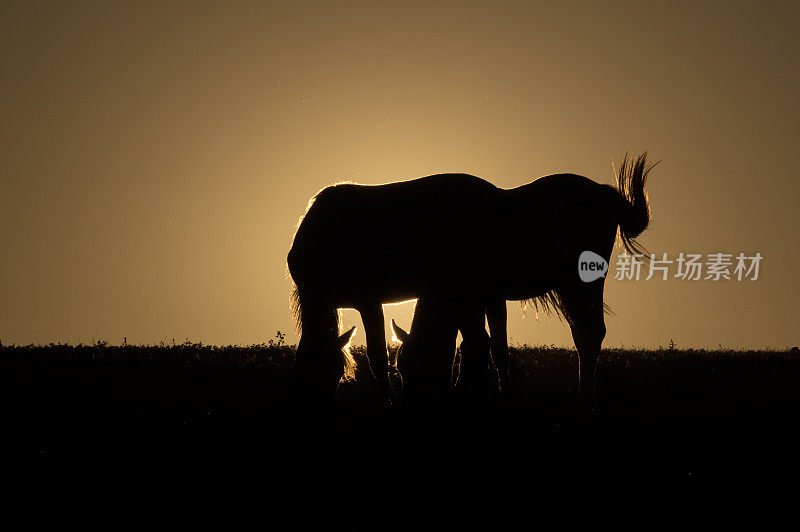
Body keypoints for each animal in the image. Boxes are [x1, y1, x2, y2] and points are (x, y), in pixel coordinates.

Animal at [290, 152, 652, 406]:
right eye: (302, 370)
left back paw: (584, 397)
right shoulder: (480, 299)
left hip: (580, 284)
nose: (306, 404)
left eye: (329, 371)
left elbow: (379, 355)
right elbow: (484, 345)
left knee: (589, 335)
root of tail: (606, 195)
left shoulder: (371, 300)